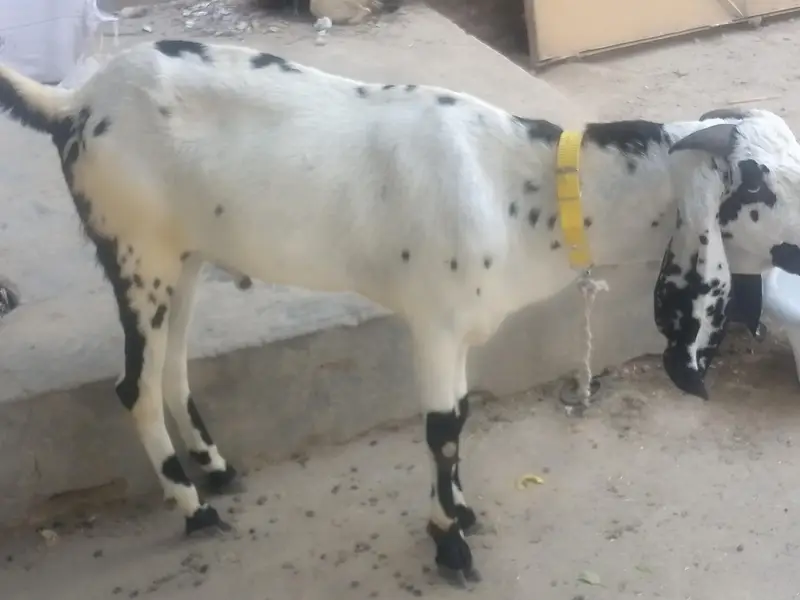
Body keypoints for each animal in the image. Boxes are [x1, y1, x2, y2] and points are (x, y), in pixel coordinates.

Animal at [0, 39, 761, 581]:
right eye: (759, 186)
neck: (522, 187)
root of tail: (77, 100)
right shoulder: (435, 321)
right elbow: (442, 430)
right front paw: (449, 547)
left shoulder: (458, 329)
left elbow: (461, 418)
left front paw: (459, 514)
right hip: (138, 254)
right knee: (133, 385)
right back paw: (194, 509)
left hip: (180, 259)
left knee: (172, 370)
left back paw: (216, 470)